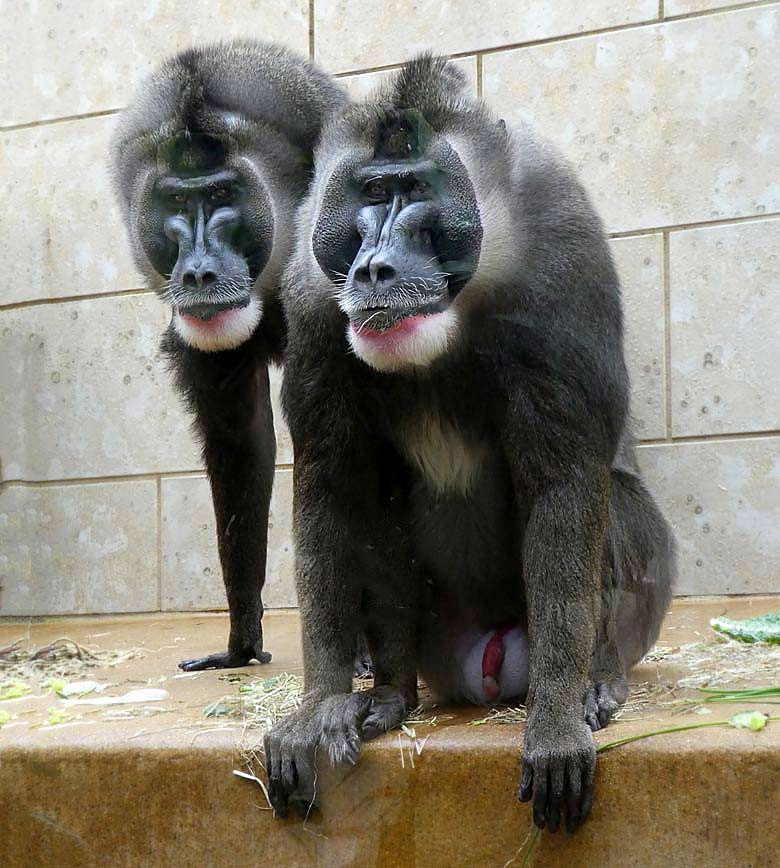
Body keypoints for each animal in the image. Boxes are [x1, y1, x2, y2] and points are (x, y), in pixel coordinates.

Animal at [266, 57, 672, 832]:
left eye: (418, 190)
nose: (375, 268)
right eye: (371, 193)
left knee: (613, 497)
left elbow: (564, 483)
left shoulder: (564, 245)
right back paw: (389, 695)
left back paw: (596, 681)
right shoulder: (311, 293)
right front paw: (318, 709)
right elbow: (330, 487)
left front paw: (555, 725)